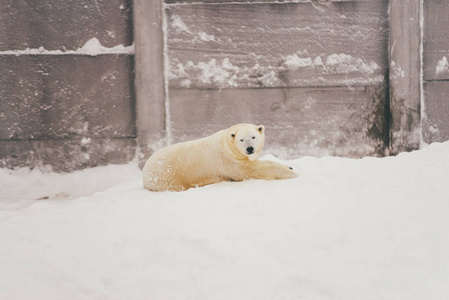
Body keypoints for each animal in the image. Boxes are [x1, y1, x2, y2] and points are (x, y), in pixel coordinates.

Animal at [144, 123, 298, 192]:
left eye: (253, 137)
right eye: (241, 139)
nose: (250, 149)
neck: (227, 145)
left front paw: (289, 166)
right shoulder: (230, 162)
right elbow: (252, 170)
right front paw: (291, 172)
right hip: (168, 178)